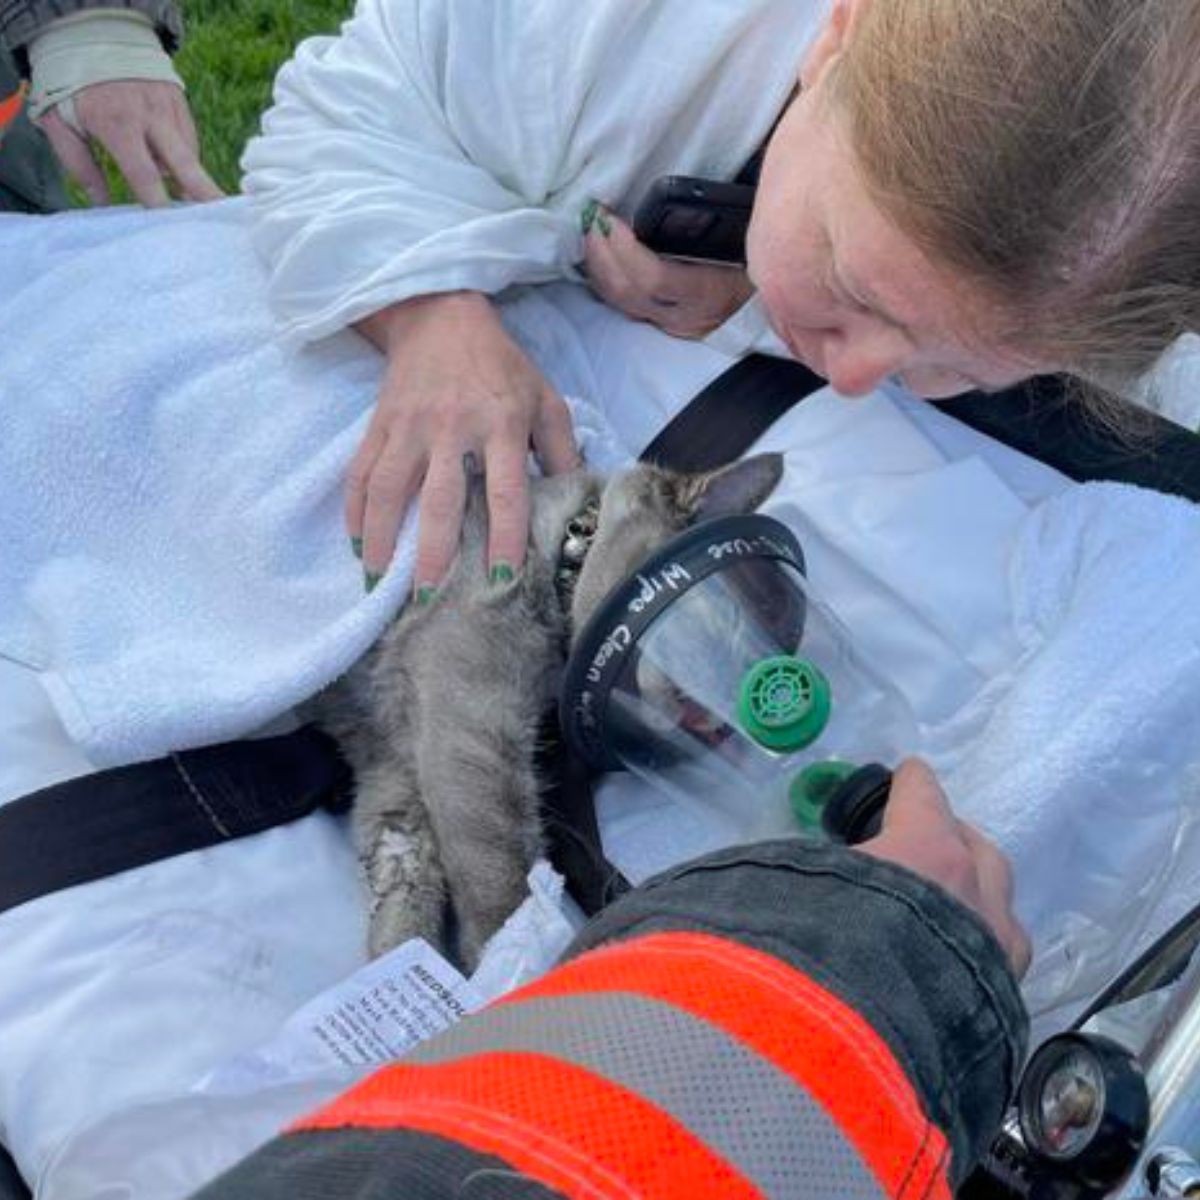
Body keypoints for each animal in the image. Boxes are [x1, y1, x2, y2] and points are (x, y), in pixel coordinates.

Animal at [319, 451, 787, 964]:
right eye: (718, 619)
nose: (713, 724)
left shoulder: (393, 765)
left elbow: (403, 890)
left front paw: (421, 968)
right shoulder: (469, 722)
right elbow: (502, 885)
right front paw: (510, 961)